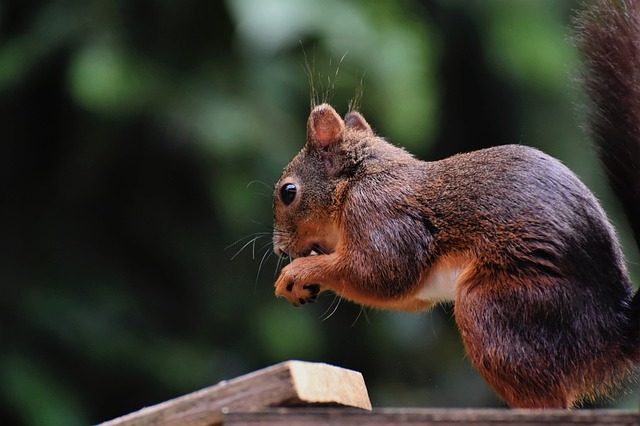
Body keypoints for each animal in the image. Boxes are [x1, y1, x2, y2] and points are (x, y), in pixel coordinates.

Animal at [272, 0, 640, 408]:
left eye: (288, 192)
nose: (278, 248)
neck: (358, 181)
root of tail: (611, 325)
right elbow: (402, 294)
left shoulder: (381, 215)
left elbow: (379, 273)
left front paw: (297, 272)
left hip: (500, 306)